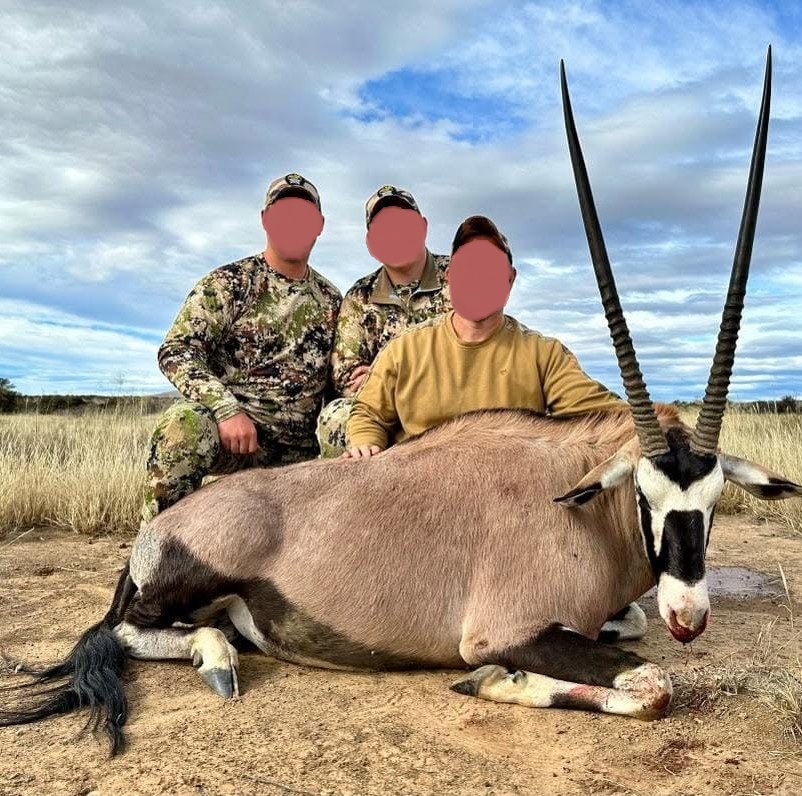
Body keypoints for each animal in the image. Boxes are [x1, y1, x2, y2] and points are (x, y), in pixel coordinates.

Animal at [1, 49, 799, 755]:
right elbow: (653, 684)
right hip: (189, 578)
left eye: (716, 499)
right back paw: (217, 661)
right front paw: (491, 681)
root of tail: (163, 528)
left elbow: (630, 629)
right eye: (643, 493)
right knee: (125, 627)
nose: (689, 615)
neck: (579, 503)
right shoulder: (512, 629)